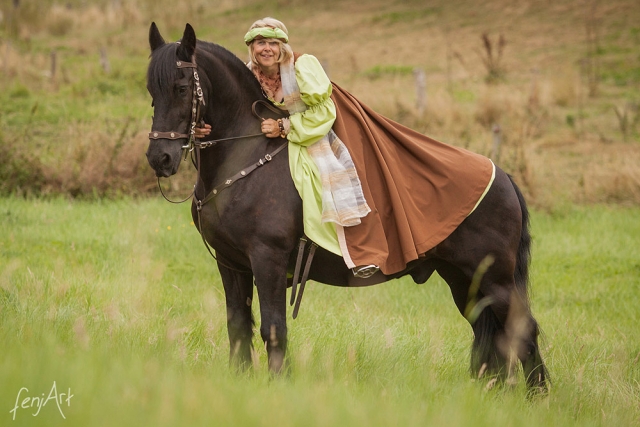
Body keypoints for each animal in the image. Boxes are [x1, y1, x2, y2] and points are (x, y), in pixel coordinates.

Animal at [146, 22, 552, 392]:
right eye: (151, 91)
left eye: (181, 88)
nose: (159, 158)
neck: (245, 157)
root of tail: (503, 177)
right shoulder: (231, 264)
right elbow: (238, 324)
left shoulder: (267, 259)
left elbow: (274, 327)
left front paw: (279, 385)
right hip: (464, 279)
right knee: (495, 331)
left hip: (496, 279)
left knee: (522, 329)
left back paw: (538, 396)